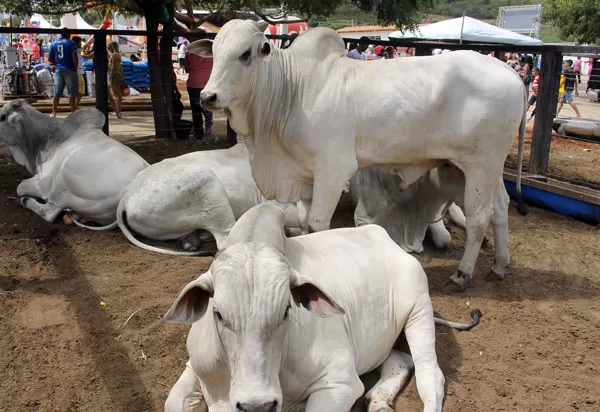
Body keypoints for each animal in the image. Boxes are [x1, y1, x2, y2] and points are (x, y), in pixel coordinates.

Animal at [0, 100, 149, 229]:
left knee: (48, 211)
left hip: (62, 183)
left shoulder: (43, 184)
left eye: (2, 117)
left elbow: (20, 187)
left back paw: (25, 201)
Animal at [165, 203, 482, 412]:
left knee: (430, 375)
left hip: (420, 310)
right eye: (218, 314)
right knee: (400, 359)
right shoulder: (194, 366)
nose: (258, 405)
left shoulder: (340, 383)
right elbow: (172, 401)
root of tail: (383, 236)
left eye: (286, 311)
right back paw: (379, 402)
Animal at [190, 20, 528, 290]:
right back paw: (500, 265)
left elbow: (317, 223)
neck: (293, 89)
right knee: (501, 208)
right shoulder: (306, 174)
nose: (208, 96)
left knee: (480, 217)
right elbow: (302, 221)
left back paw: (463, 274)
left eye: (245, 54)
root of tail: (509, 72)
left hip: (479, 165)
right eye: (215, 52)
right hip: (487, 168)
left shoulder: (333, 169)